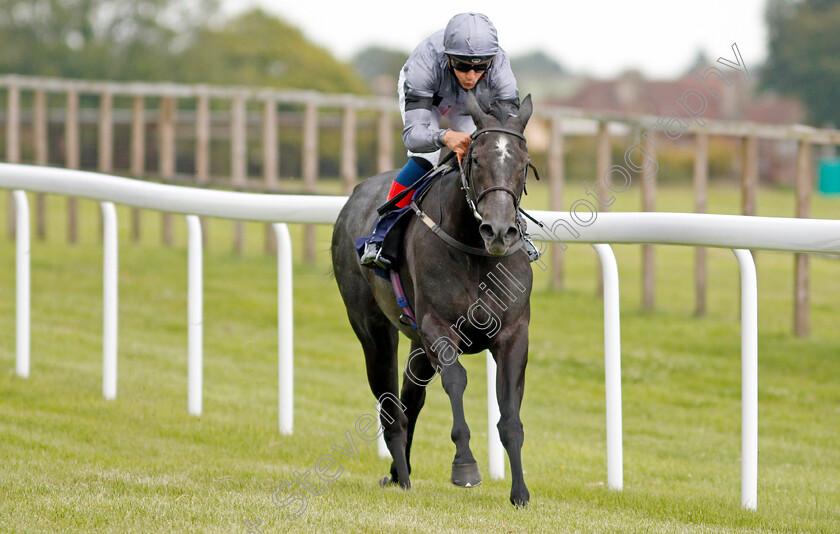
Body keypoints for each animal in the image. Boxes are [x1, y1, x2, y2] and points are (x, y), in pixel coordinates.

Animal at [332, 93, 536, 510]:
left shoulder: (513, 333)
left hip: (416, 344)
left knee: (411, 399)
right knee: (390, 405)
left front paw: (520, 493)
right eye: (476, 160)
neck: (477, 252)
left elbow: (509, 414)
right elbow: (456, 380)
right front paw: (465, 467)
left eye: (523, 163)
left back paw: (399, 472)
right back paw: (403, 475)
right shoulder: (436, 327)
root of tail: (356, 195)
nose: (500, 231)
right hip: (374, 330)